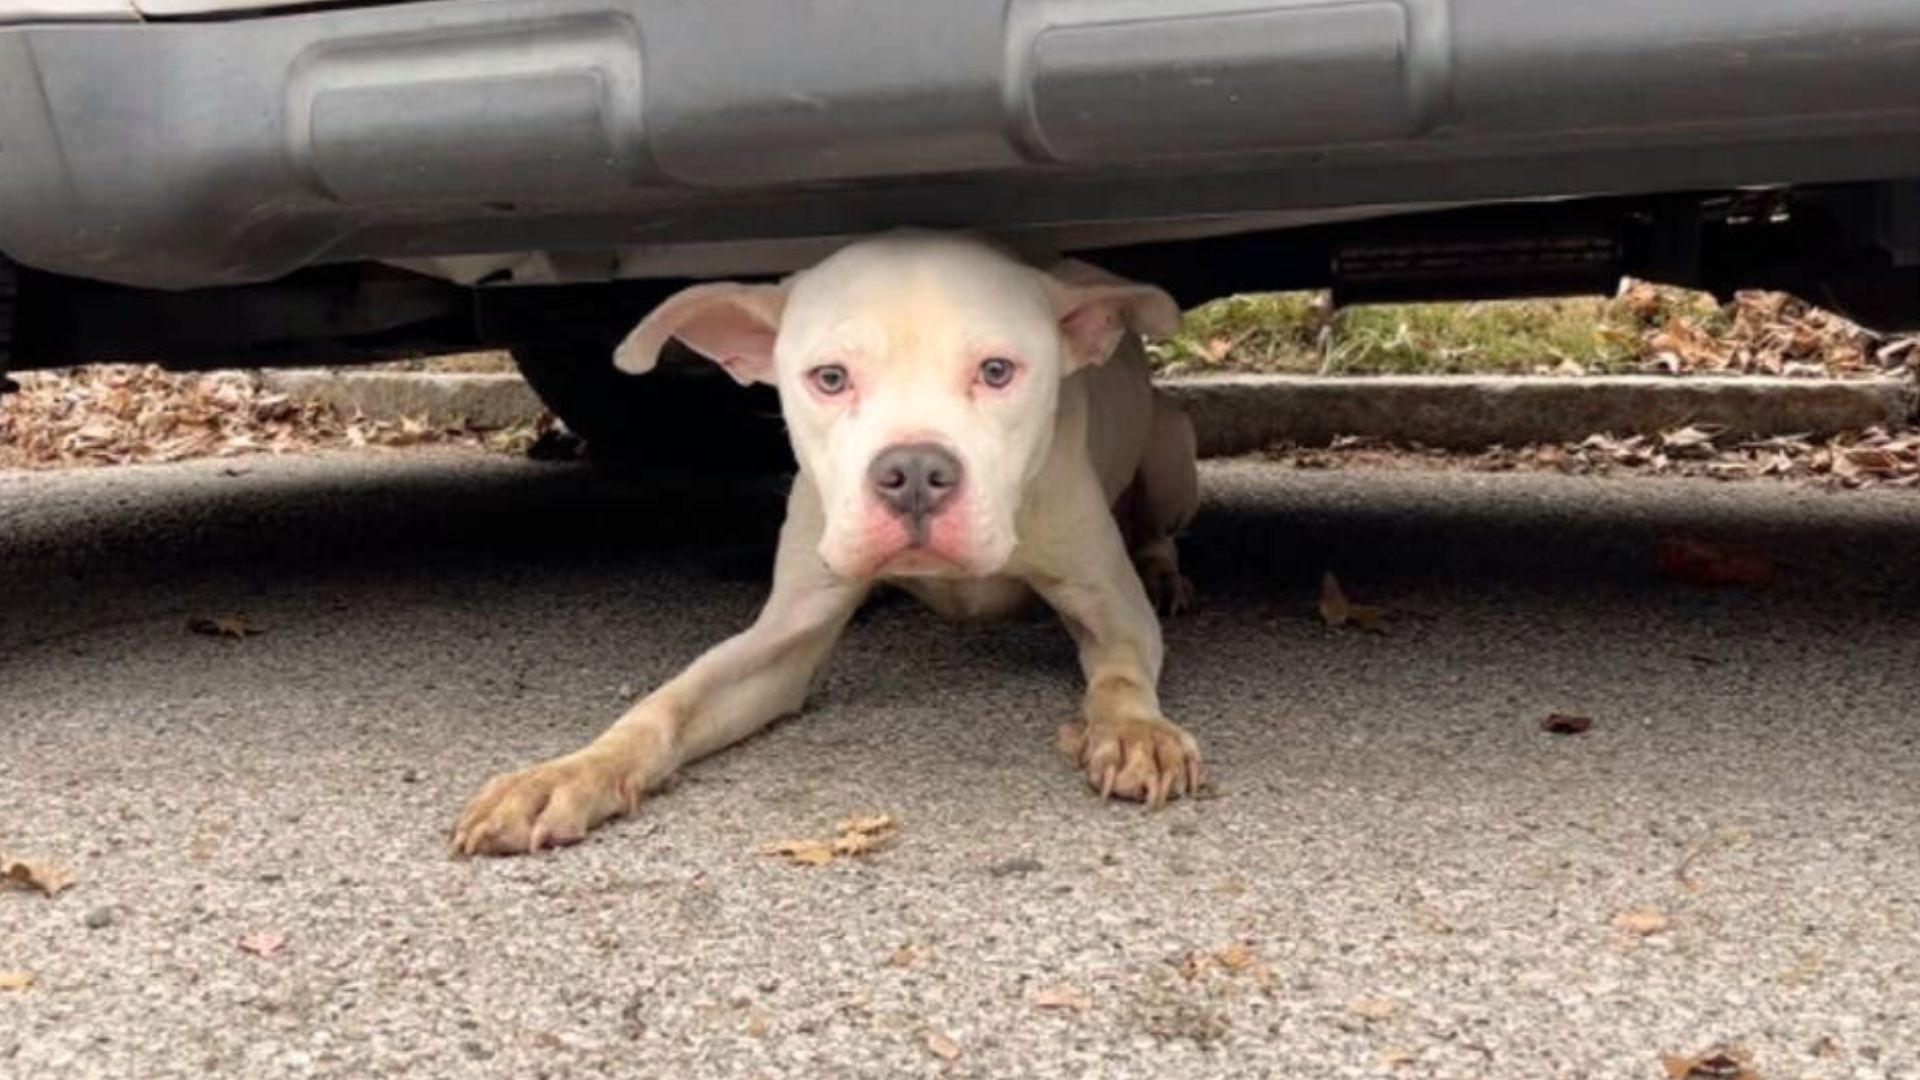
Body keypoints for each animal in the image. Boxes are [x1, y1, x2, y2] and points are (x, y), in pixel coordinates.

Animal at [451, 231, 1198, 853]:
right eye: (830, 378)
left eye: (996, 371)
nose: (916, 473)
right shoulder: (785, 636)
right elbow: (671, 700)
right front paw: (569, 772)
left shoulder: (1110, 606)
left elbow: (1120, 674)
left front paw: (1135, 732)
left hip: (1172, 448)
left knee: (1158, 528)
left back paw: (1164, 573)